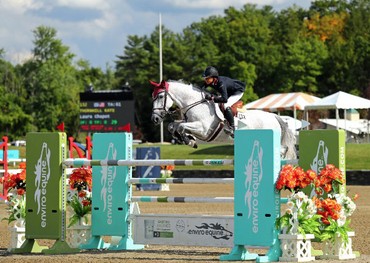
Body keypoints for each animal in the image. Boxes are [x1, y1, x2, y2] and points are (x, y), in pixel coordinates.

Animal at [149, 79, 296, 160]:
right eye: (153, 97)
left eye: (160, 96)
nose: (154, 119)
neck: (194, 103)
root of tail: (274, 117)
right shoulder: (190, 123)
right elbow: (173, 126)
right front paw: (188, 140)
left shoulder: (203, 129)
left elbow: (180, 127)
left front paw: (188, 140)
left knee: (282, 149)